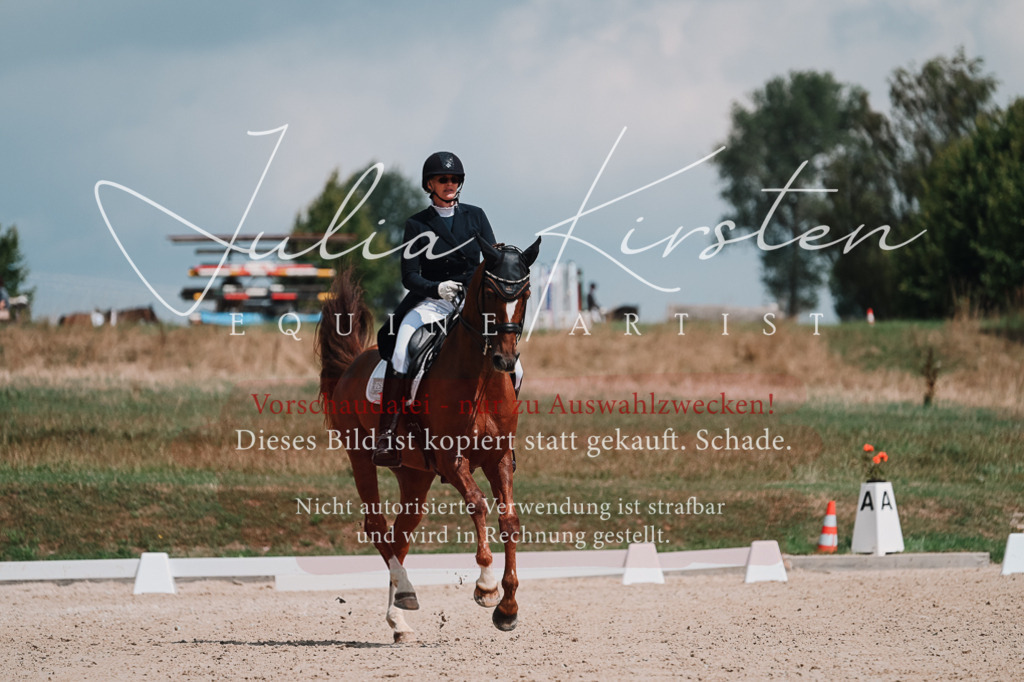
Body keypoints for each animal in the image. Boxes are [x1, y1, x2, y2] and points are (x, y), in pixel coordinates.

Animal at [316, 236, 540, 643]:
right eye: (489, 292)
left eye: (526, 293)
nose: (504, 358)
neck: (482, 377)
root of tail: (354, 363)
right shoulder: (453, 460)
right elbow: (478, 505)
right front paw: (486, 587)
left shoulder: (498, 458)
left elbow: (509, 521)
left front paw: (508, 608)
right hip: (360, 456)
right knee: (377, 526)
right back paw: (405, 597)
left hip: (414, 474)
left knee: (401, 535)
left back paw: (400, 617)